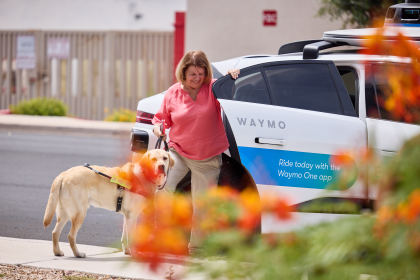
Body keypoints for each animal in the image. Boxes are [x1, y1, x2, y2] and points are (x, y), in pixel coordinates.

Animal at [42, 150, 172, 258]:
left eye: (165, 158)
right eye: (153, 159)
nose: (161, 166)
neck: (144, 174)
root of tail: (63, 174)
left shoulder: (127, 216)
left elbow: (124, 236)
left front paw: (127, 251)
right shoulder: (132, 216)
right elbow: (130, 237)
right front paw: (134, 253)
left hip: (64, 213)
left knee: (55, 232)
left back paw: (57, 252)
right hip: (79, 213)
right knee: (71, 236)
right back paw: (78, 254)